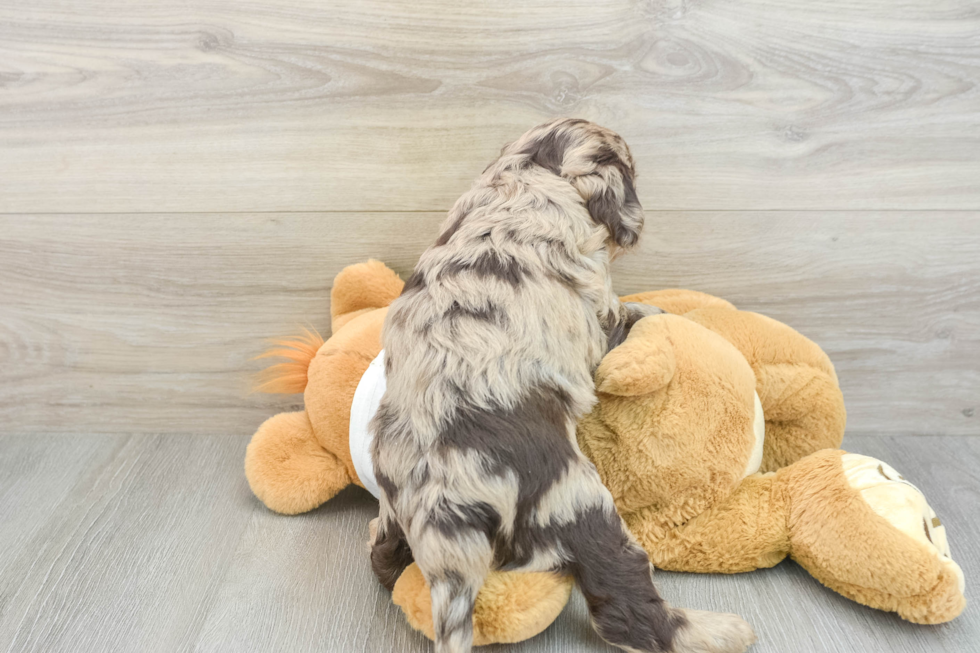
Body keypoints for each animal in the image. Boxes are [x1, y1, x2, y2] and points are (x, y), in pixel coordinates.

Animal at [372, 119, 756, 652]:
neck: (526, 176)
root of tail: (442, 504)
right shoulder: (602, 314)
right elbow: (638, 312)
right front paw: (668, 312)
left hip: (395, 502)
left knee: (383, 555)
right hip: (577, 503)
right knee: (627, 605)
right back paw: (718, 631)